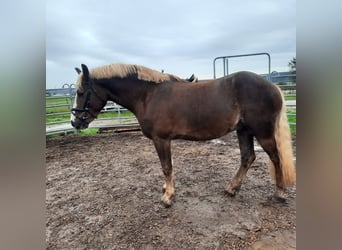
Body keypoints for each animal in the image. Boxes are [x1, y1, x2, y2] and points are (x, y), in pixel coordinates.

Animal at [71, 63, 296, 207]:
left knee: (276, 158)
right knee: (248, 157)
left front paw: (168, 197)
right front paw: (166, 189)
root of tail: (274, 87)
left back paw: (279, 193)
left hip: (262, 132)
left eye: (81, 92)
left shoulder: (161, 140)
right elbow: (167, 167)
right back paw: (231, 188)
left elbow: (166, 167)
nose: (74, 122)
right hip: (244, 131)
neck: (148, 95)